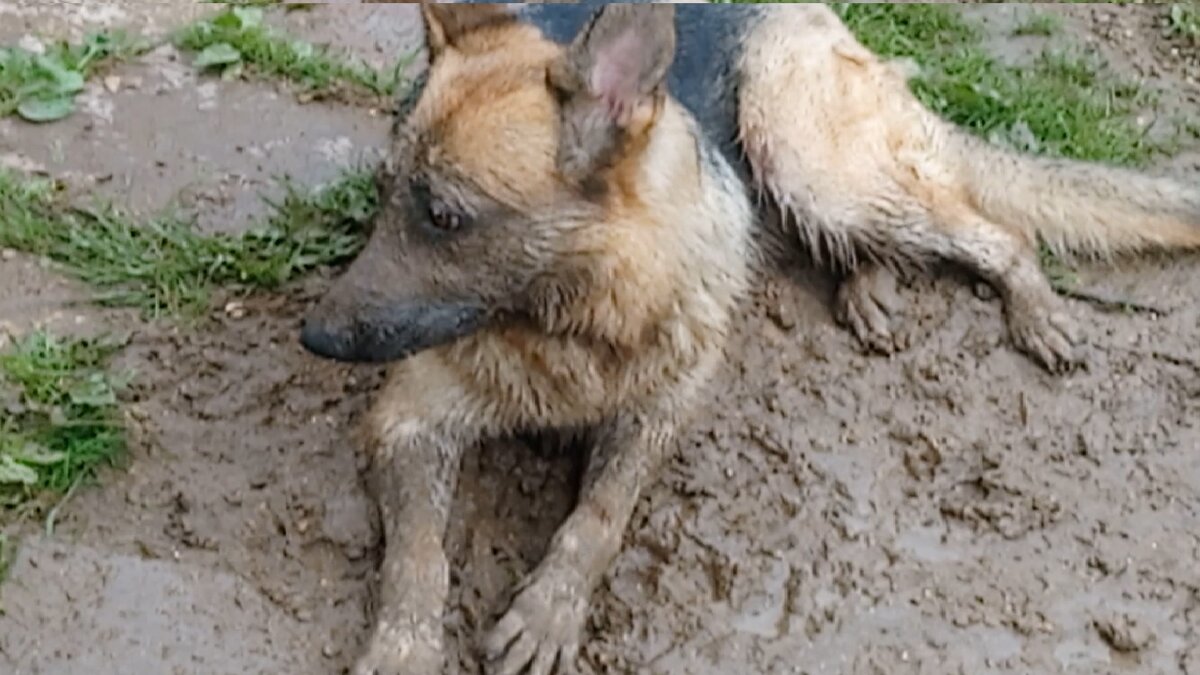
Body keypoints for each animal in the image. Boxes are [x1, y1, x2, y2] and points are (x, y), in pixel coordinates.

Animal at [302, 2, 1200, 667]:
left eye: (446, 217)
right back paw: (870, 288)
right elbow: (420, 557)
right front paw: (405, 648)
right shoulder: (407, 419)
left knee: (994, 232)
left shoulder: (657, 413)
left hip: (802, 155)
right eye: (385, 196)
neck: (574, 316)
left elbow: (599, 517)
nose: (313, 334)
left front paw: (552, 608)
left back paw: (1032, 309)